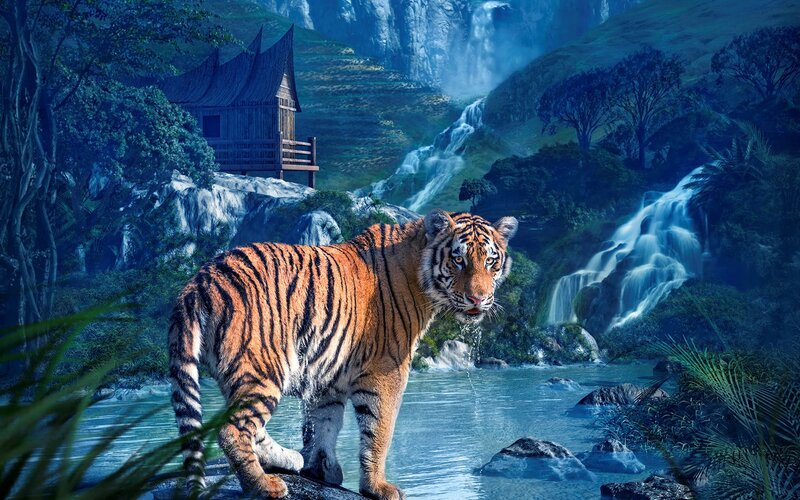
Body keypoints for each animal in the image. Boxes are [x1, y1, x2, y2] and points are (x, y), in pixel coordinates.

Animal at [168, 209, 518, 499]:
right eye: (459, 260)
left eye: (490, 261)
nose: (478, 299)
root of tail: (199, 281)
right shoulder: (387, 371)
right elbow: (379, 431)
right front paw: (377, 487)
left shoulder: (328, 373)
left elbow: (325, 424)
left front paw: (324, 470)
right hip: (264, 365)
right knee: (231, 430)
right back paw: (264, 486)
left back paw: (287, 459)